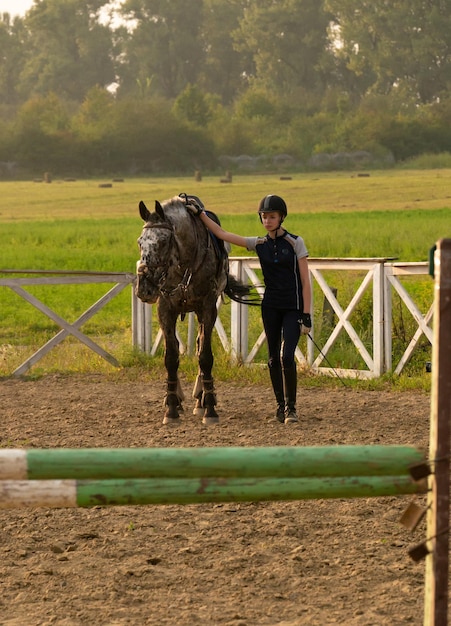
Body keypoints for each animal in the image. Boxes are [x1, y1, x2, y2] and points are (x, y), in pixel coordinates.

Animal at [136, 191, 252, 424]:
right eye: (140, 242)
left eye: (163, 241)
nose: (144, 288)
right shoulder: (165, 310)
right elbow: (171, 357)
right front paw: (171, 407)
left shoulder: (208, 308)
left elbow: (204, 356)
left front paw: (210, 408)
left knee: (199, 345)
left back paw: (201, 398)